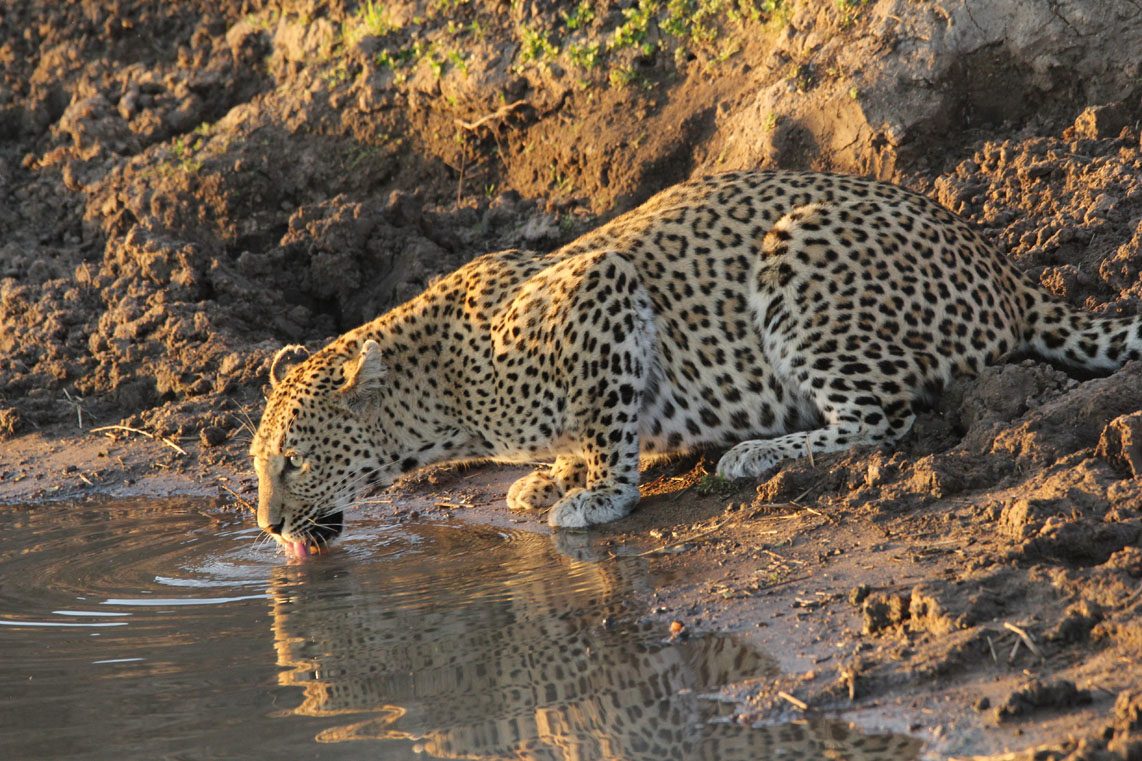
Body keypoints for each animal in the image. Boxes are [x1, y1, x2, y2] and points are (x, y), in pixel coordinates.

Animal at [250, 169, 1142, 548]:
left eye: (296, 461)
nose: (266, 526)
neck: (442, 396)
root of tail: (1009, 274)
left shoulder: (604, 290)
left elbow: (608, 424)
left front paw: (596, 494)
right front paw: (550, 475)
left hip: (799, 259)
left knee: (880, 418)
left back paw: (754, 452)